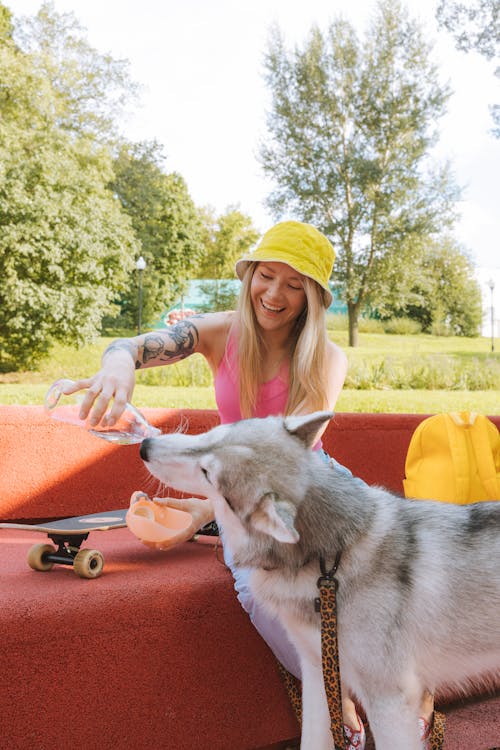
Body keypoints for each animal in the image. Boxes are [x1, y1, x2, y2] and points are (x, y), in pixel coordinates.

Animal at [139, 414, 500, 748]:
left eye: (207, 473)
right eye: (215, 432)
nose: (145, 446)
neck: (329, 561)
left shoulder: (390, 702)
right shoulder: (318, 676)